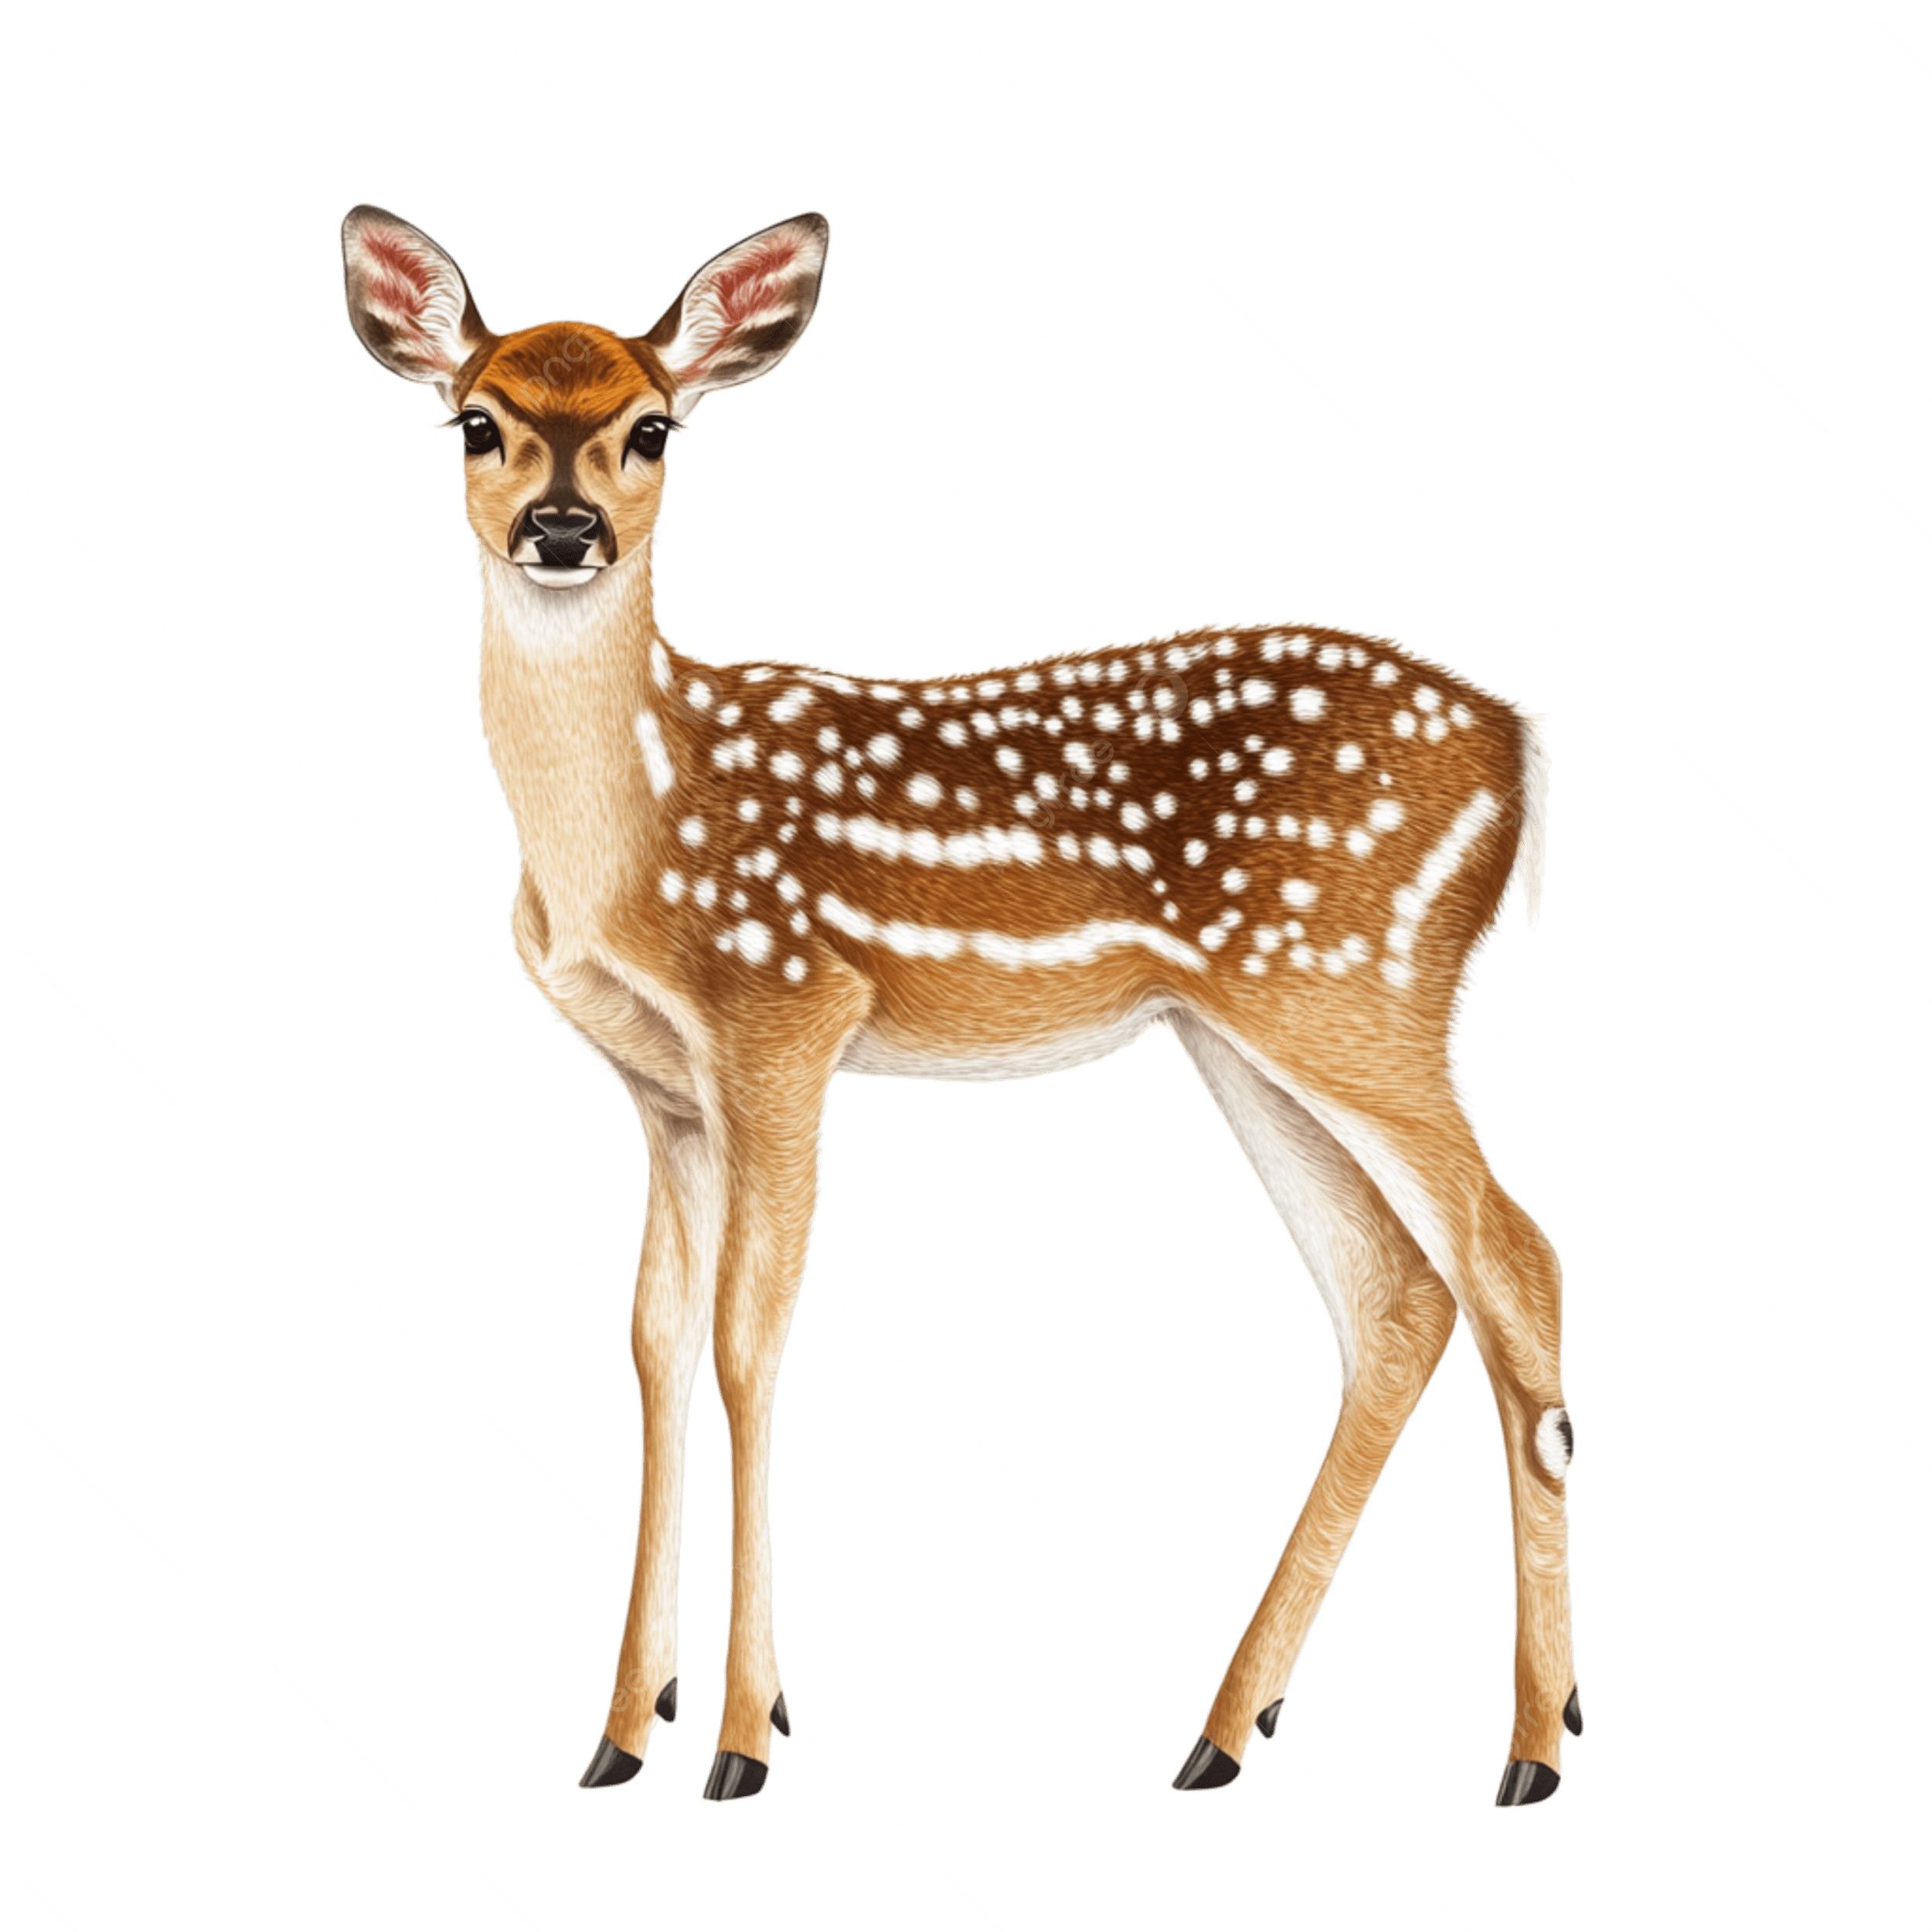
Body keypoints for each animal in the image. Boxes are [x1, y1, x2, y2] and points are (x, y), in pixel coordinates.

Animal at [339, 202, 1578, 1810]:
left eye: (655, 431)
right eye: (472, 423)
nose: (561, 533)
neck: (630, 833)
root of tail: (1524, 742)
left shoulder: (786, 1020)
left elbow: (750, 1340)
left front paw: (742, 1742)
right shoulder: (664, 1091)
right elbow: (656, 1343)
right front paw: (622, 1734)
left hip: (1362, 989)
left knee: (1514, 1260)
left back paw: (1534, 1749)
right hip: (1253, 1036)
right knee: (1395, 1297)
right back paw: (1225, 1734)